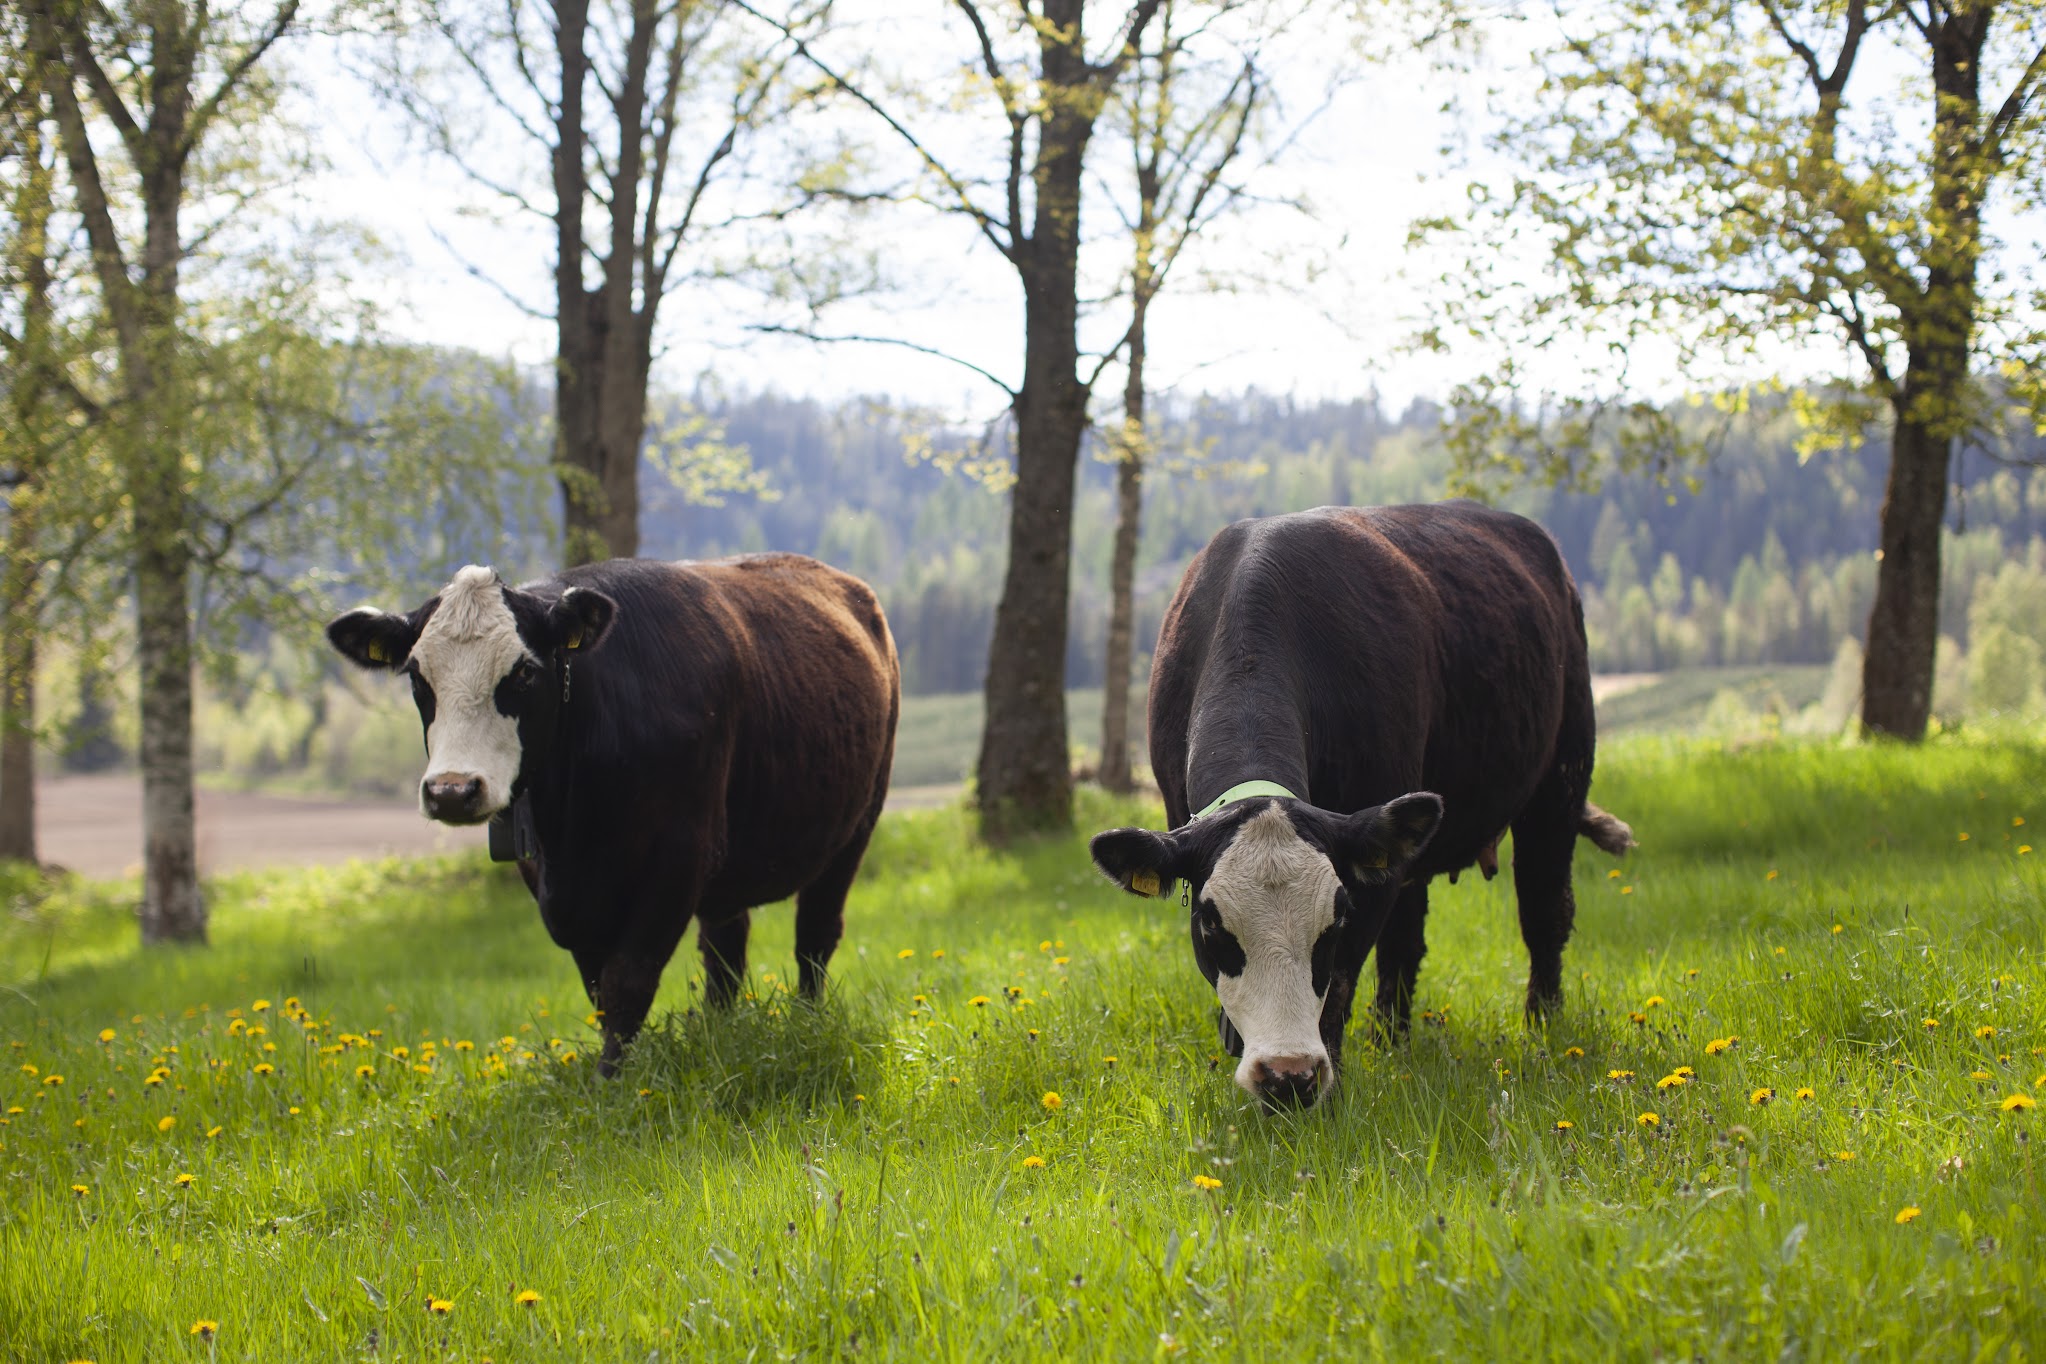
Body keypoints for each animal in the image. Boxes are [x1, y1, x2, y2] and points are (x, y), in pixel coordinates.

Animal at [327, 552, 896, 1063]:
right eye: (417, 677)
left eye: (525, 672)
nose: (451, 790)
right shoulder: (555, 884)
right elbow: (599, 986)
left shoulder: (677, 859)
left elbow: (628, 980)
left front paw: (613, 1082)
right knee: (725, 951)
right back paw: (719, 1033)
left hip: (855, 828)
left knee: (814, 937)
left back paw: (807, 1021)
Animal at [1088, 501, 1628, 1112]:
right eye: (1210, 922)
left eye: (1337, 917)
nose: (1286, 1074)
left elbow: (1340, 984)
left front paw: (1327, 1087)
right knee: (1406, 942)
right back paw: (1390, 1040)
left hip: (1560, 779)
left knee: (1544, 911)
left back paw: (1543, 1028)